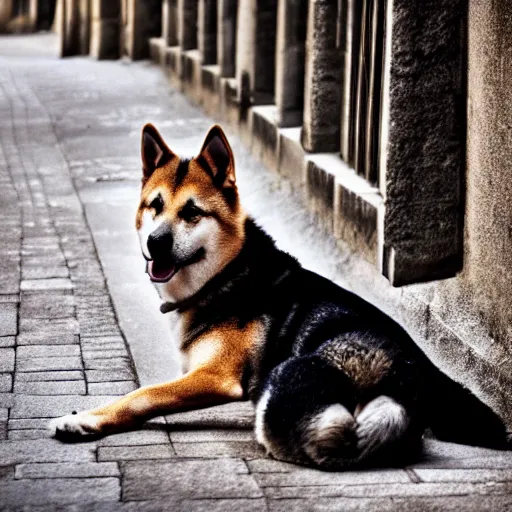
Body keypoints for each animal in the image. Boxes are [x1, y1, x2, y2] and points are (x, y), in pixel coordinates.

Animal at [50, 124, 510, 468]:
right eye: (154, 206)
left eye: (192, 212)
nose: (155, 242)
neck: (227, 274)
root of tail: (406, 385)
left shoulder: (214, 376)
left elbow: (142, 395)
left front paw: (84, 419)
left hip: (283, 386)